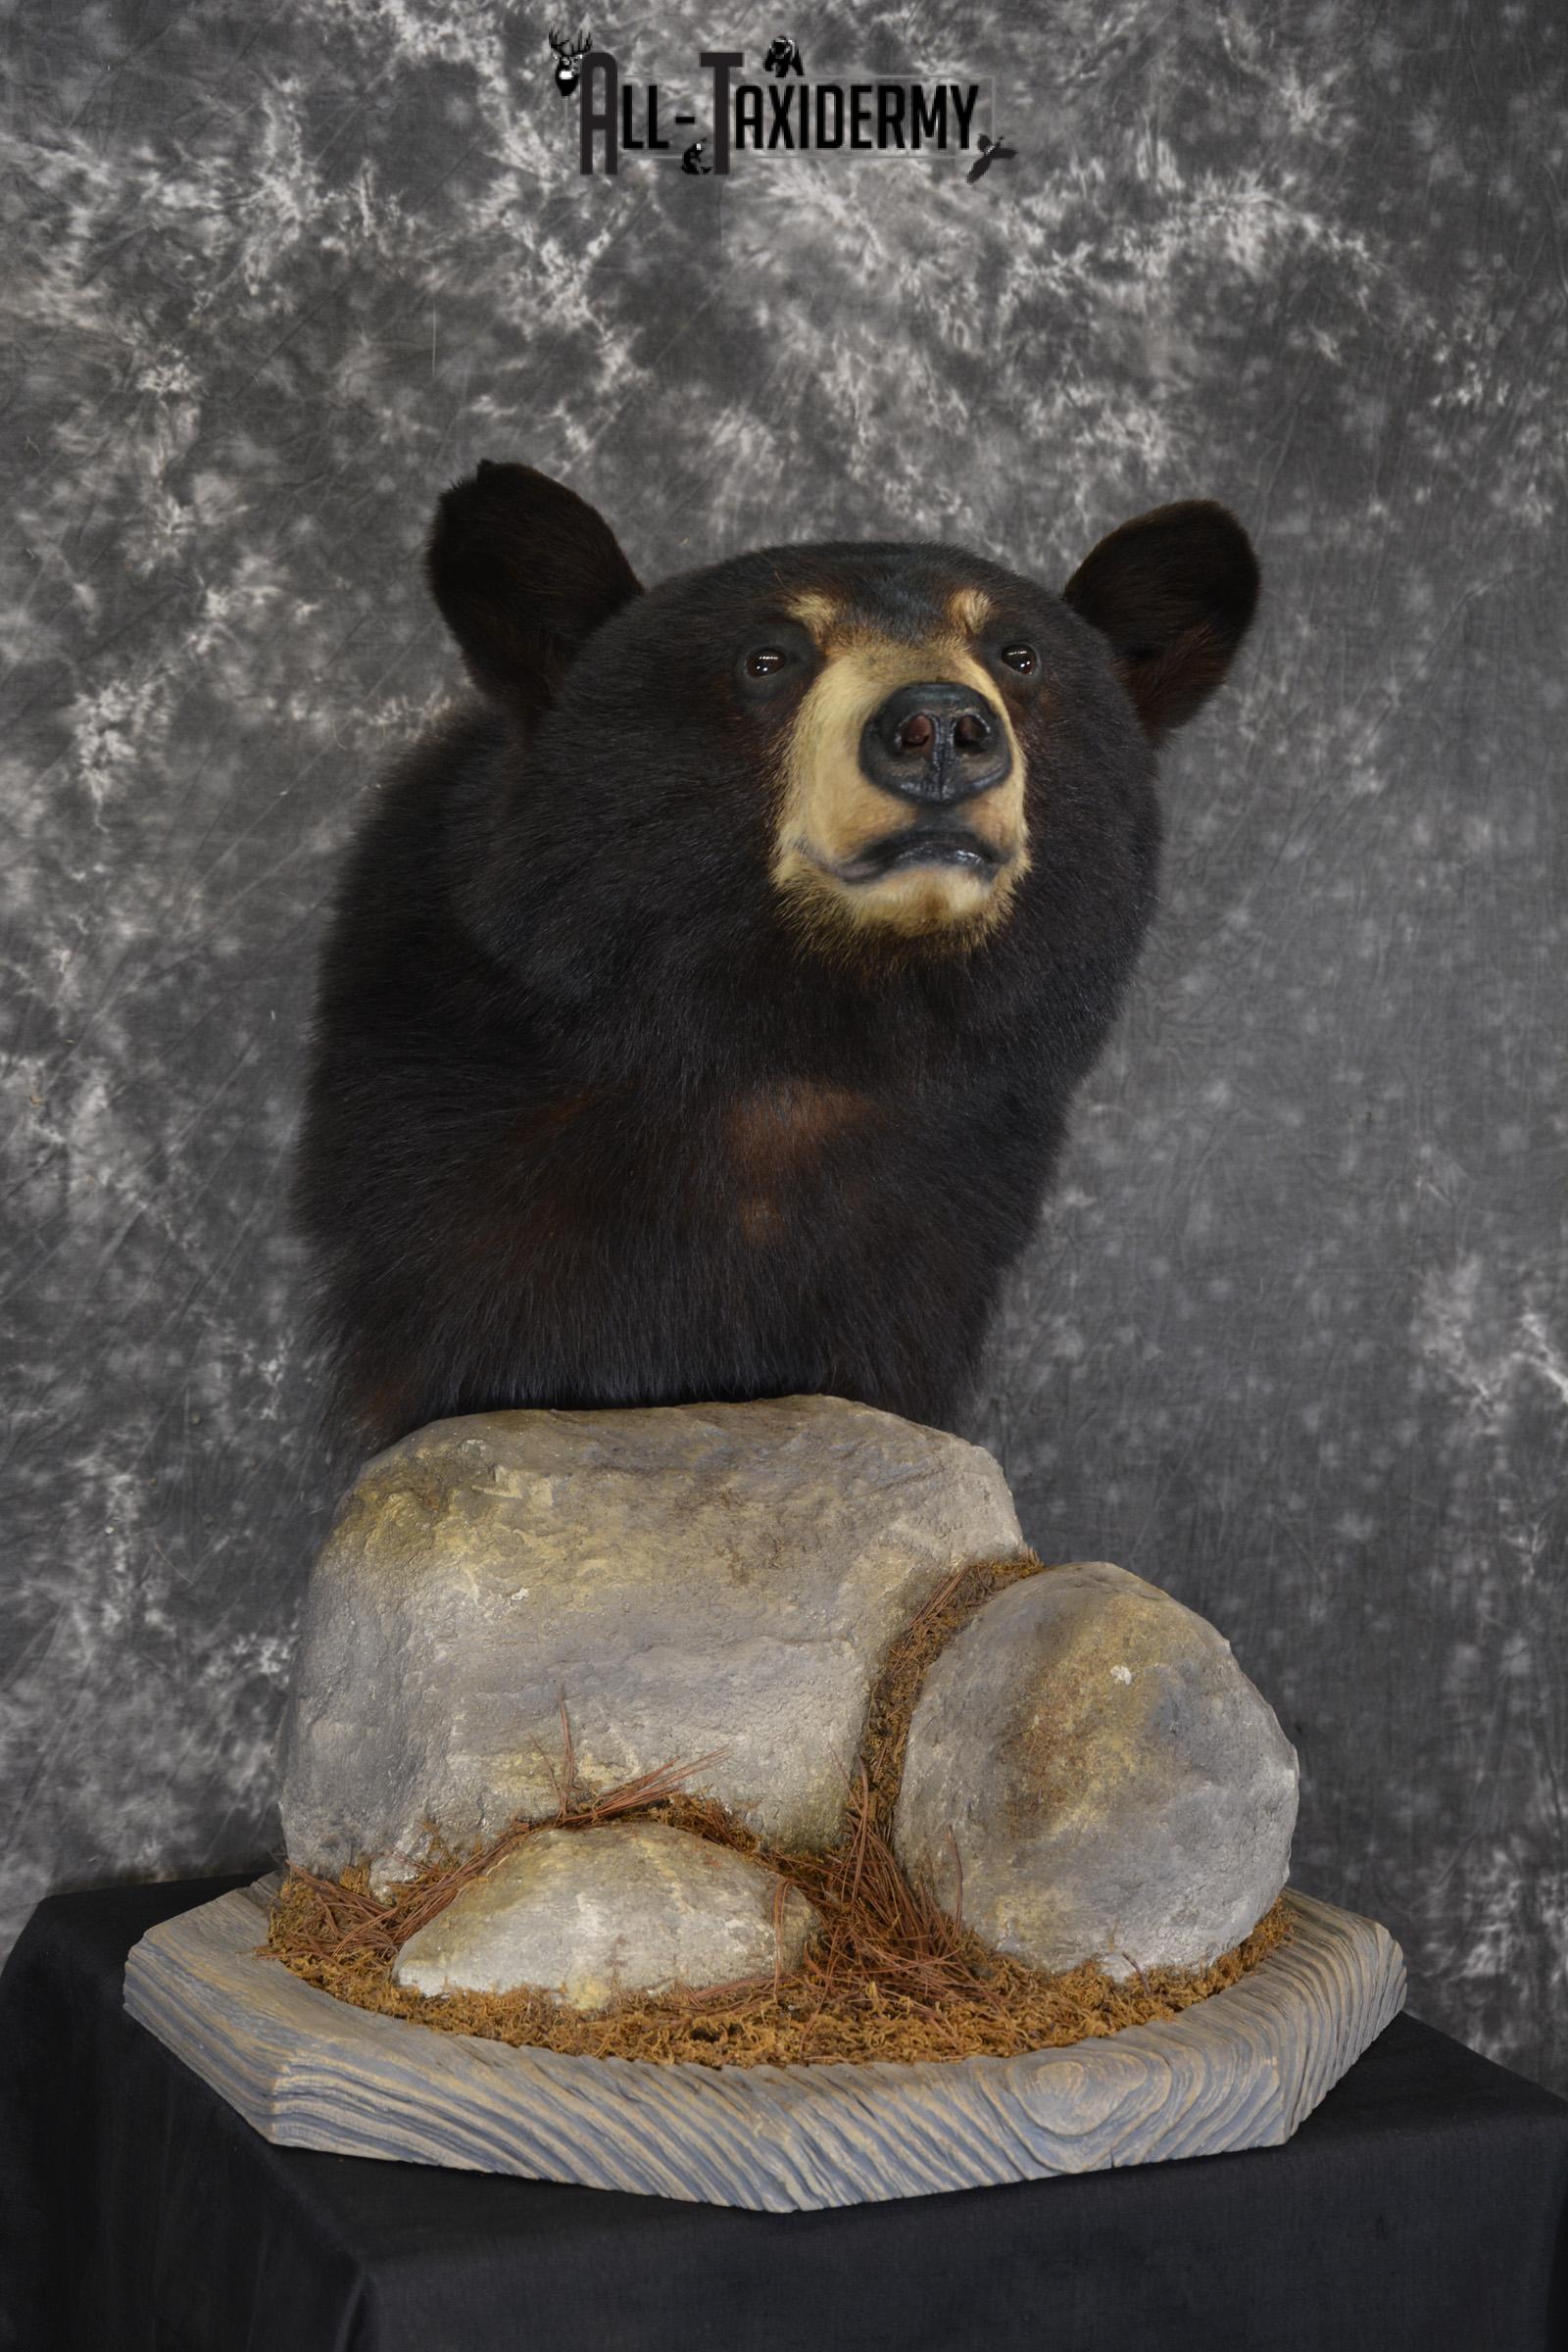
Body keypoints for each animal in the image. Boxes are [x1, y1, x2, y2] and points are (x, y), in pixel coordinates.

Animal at [294, 463, 1258, 1455]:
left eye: (1017, 655)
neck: (789, 1029)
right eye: (768, 659)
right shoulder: (452, 1157)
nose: (941, 727)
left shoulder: (939, 1223)